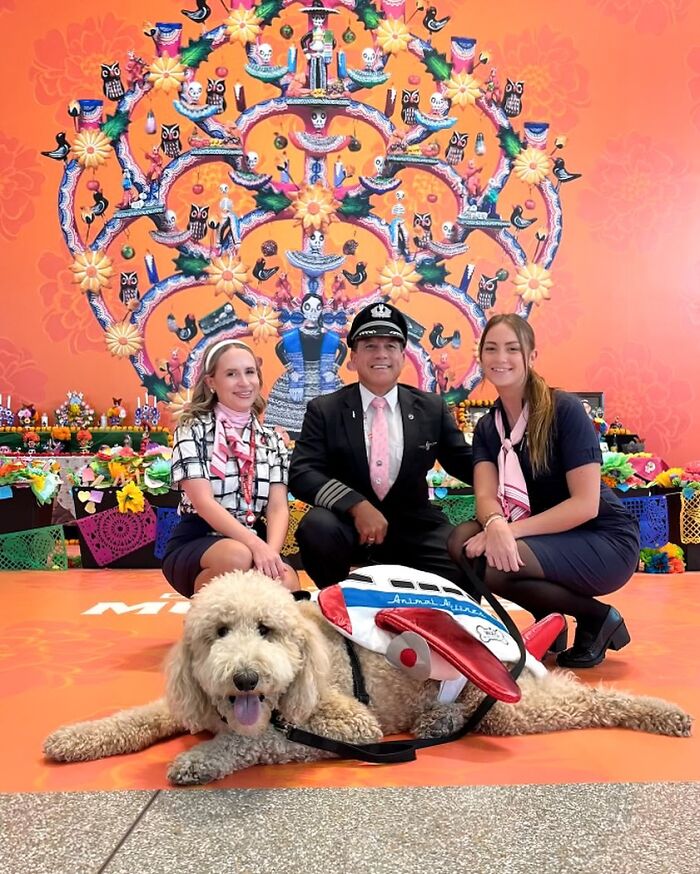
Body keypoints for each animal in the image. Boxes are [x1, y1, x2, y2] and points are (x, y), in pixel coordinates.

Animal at [45, 572, 696, 784]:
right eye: (219, 632)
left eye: (267, 630)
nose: (247, 679)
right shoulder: (192, 701)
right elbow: (134, 718)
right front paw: (75, 738)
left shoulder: (350, 724)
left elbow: (253, 742)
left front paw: (201, 759)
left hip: (509, 704)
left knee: (593, 701)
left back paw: (662, 713)